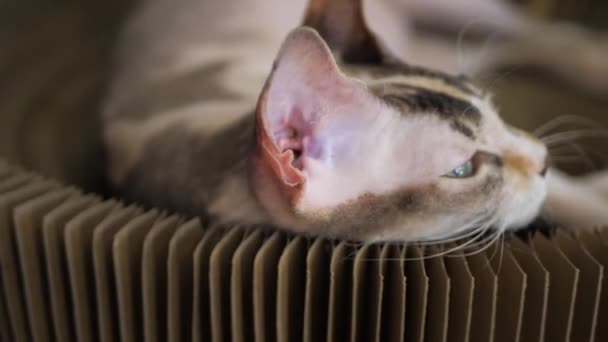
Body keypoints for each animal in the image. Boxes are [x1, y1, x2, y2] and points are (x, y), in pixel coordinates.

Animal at [102, 0, 608, 242]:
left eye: (494, 111)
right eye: (463, 169)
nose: (543, 157)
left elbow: (564, 194)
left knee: (531, 32)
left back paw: (593, 58)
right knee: (516, 42)